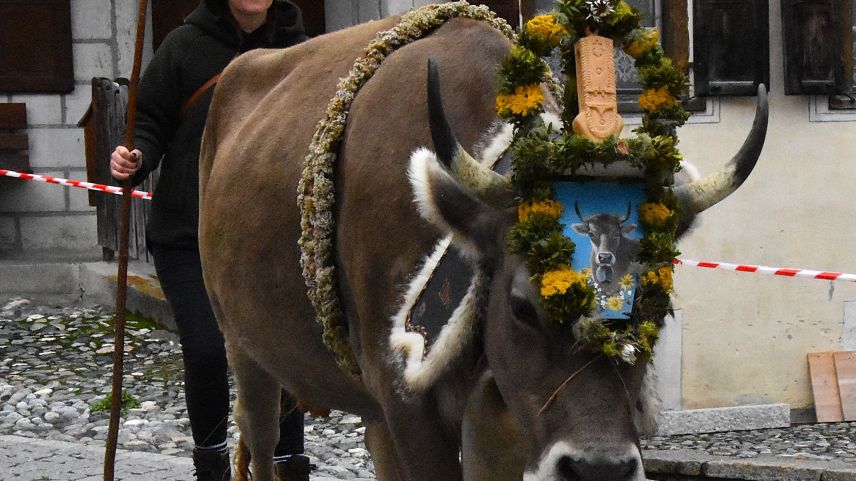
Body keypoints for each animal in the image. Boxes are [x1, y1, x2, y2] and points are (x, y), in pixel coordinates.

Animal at [199, 12, 768, 480]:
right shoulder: (408, 404)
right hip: (241, 344)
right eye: (521, 306)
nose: (599, 469)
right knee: (261, 433)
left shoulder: (502, 420)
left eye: (655, 307)